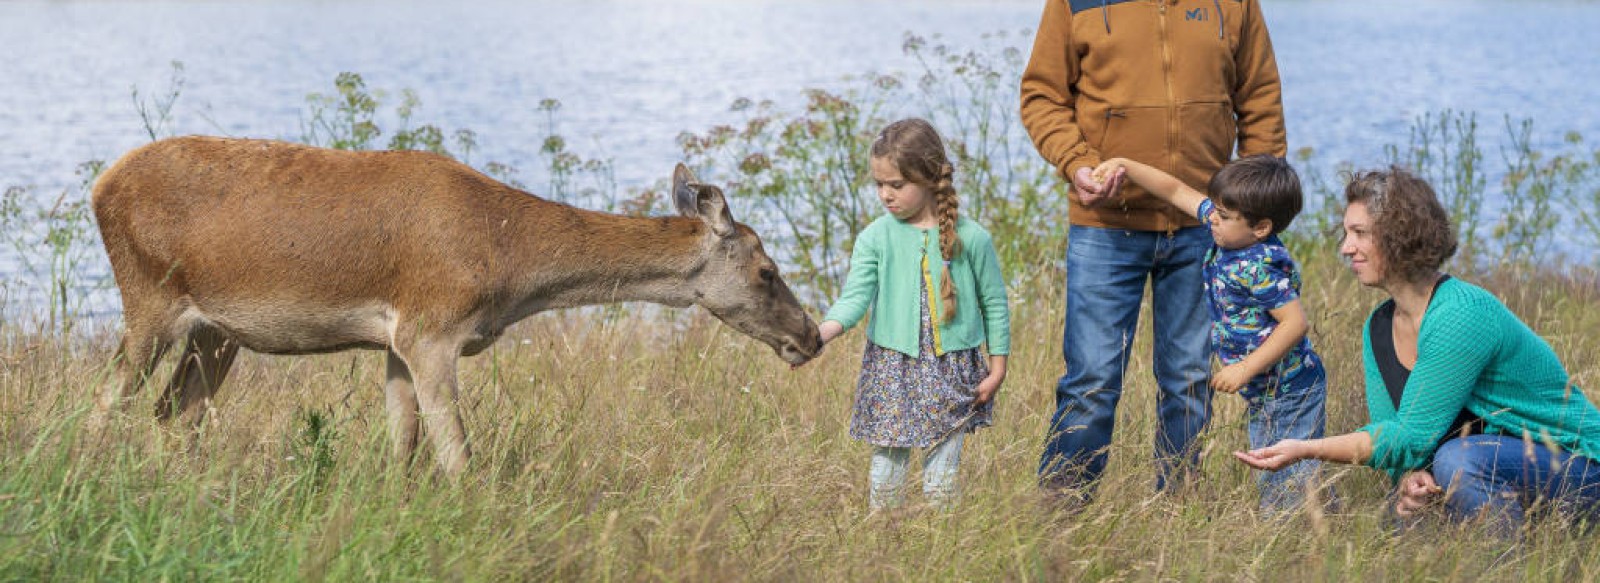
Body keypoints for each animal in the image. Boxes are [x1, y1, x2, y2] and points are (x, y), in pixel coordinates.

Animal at [89, 135, 825, 474]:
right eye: (767, 270)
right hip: (148, 298)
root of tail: (99, 185)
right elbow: (458, 455)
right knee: (105, 403)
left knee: (172, 412)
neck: (510, 270)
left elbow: (403, 445)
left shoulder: (395, 340)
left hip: (216, 332)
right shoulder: (431, 329)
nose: (812, 335)